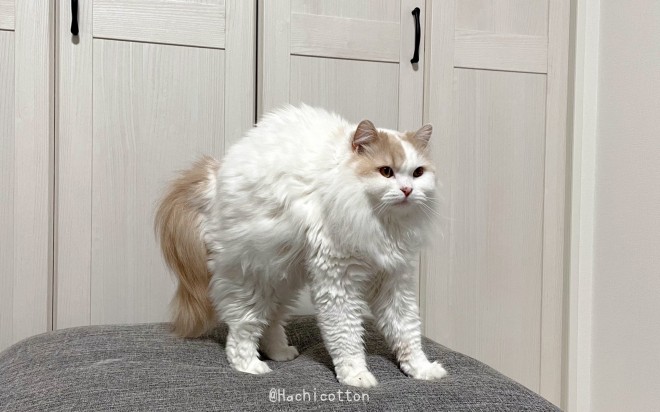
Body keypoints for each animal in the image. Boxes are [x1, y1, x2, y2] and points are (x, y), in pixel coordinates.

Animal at [155, 104, 447, 387]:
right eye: (386, 171)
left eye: (418, 173)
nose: (408, 190)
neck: (383, 223)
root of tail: (215, 177)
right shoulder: (338, 282)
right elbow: (347, 337)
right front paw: (356, 376)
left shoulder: (393, 280)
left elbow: (406, 331)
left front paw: (421, 369)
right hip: (251, 280)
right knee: (241, 332)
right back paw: (251, 366)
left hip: (282, 277)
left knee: (271, 321)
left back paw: (280, 352)